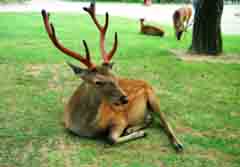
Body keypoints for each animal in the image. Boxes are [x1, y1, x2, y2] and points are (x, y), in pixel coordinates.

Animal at [41, 1, 184, 152]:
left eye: (115, 76)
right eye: (97, 81)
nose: (125, 98)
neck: (84, 126)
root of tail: (145, 82)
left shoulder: (119, 118)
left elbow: (111, 139)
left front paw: (140, 133)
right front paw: (136, 131)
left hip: (153, 97)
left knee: (164, 120)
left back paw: (177, 144)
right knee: (151, 118)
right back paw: (133, 128)